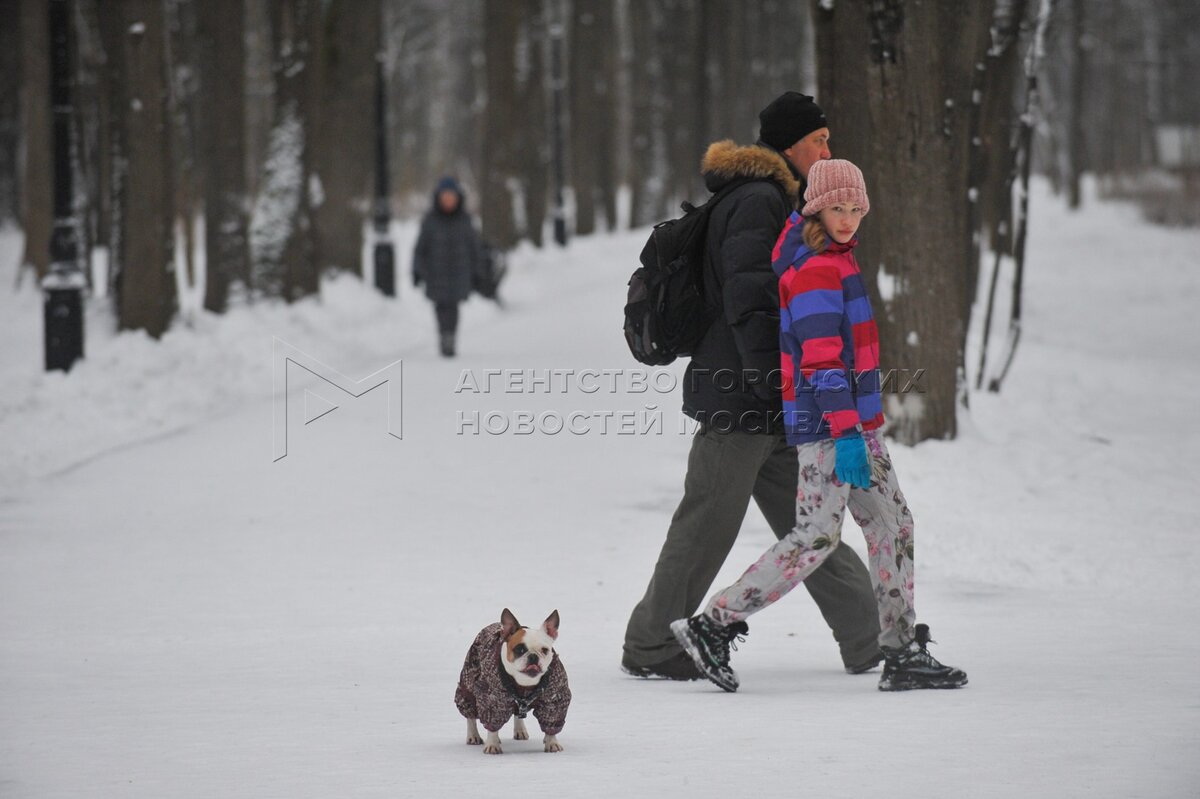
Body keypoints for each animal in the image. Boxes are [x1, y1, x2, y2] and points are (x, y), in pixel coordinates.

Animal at [454, 608, 570, 754]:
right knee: (470, 715)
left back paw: (520, 730)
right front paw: (492, 744)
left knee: (517, 713)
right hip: (468, 687)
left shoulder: (554, 702)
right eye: (520, 649)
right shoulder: (492, 701)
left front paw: (552, 742)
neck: (525, 683)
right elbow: (492, 725)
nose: (533, 657)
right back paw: (473, 736)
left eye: (545, 650)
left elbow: (552, 722)